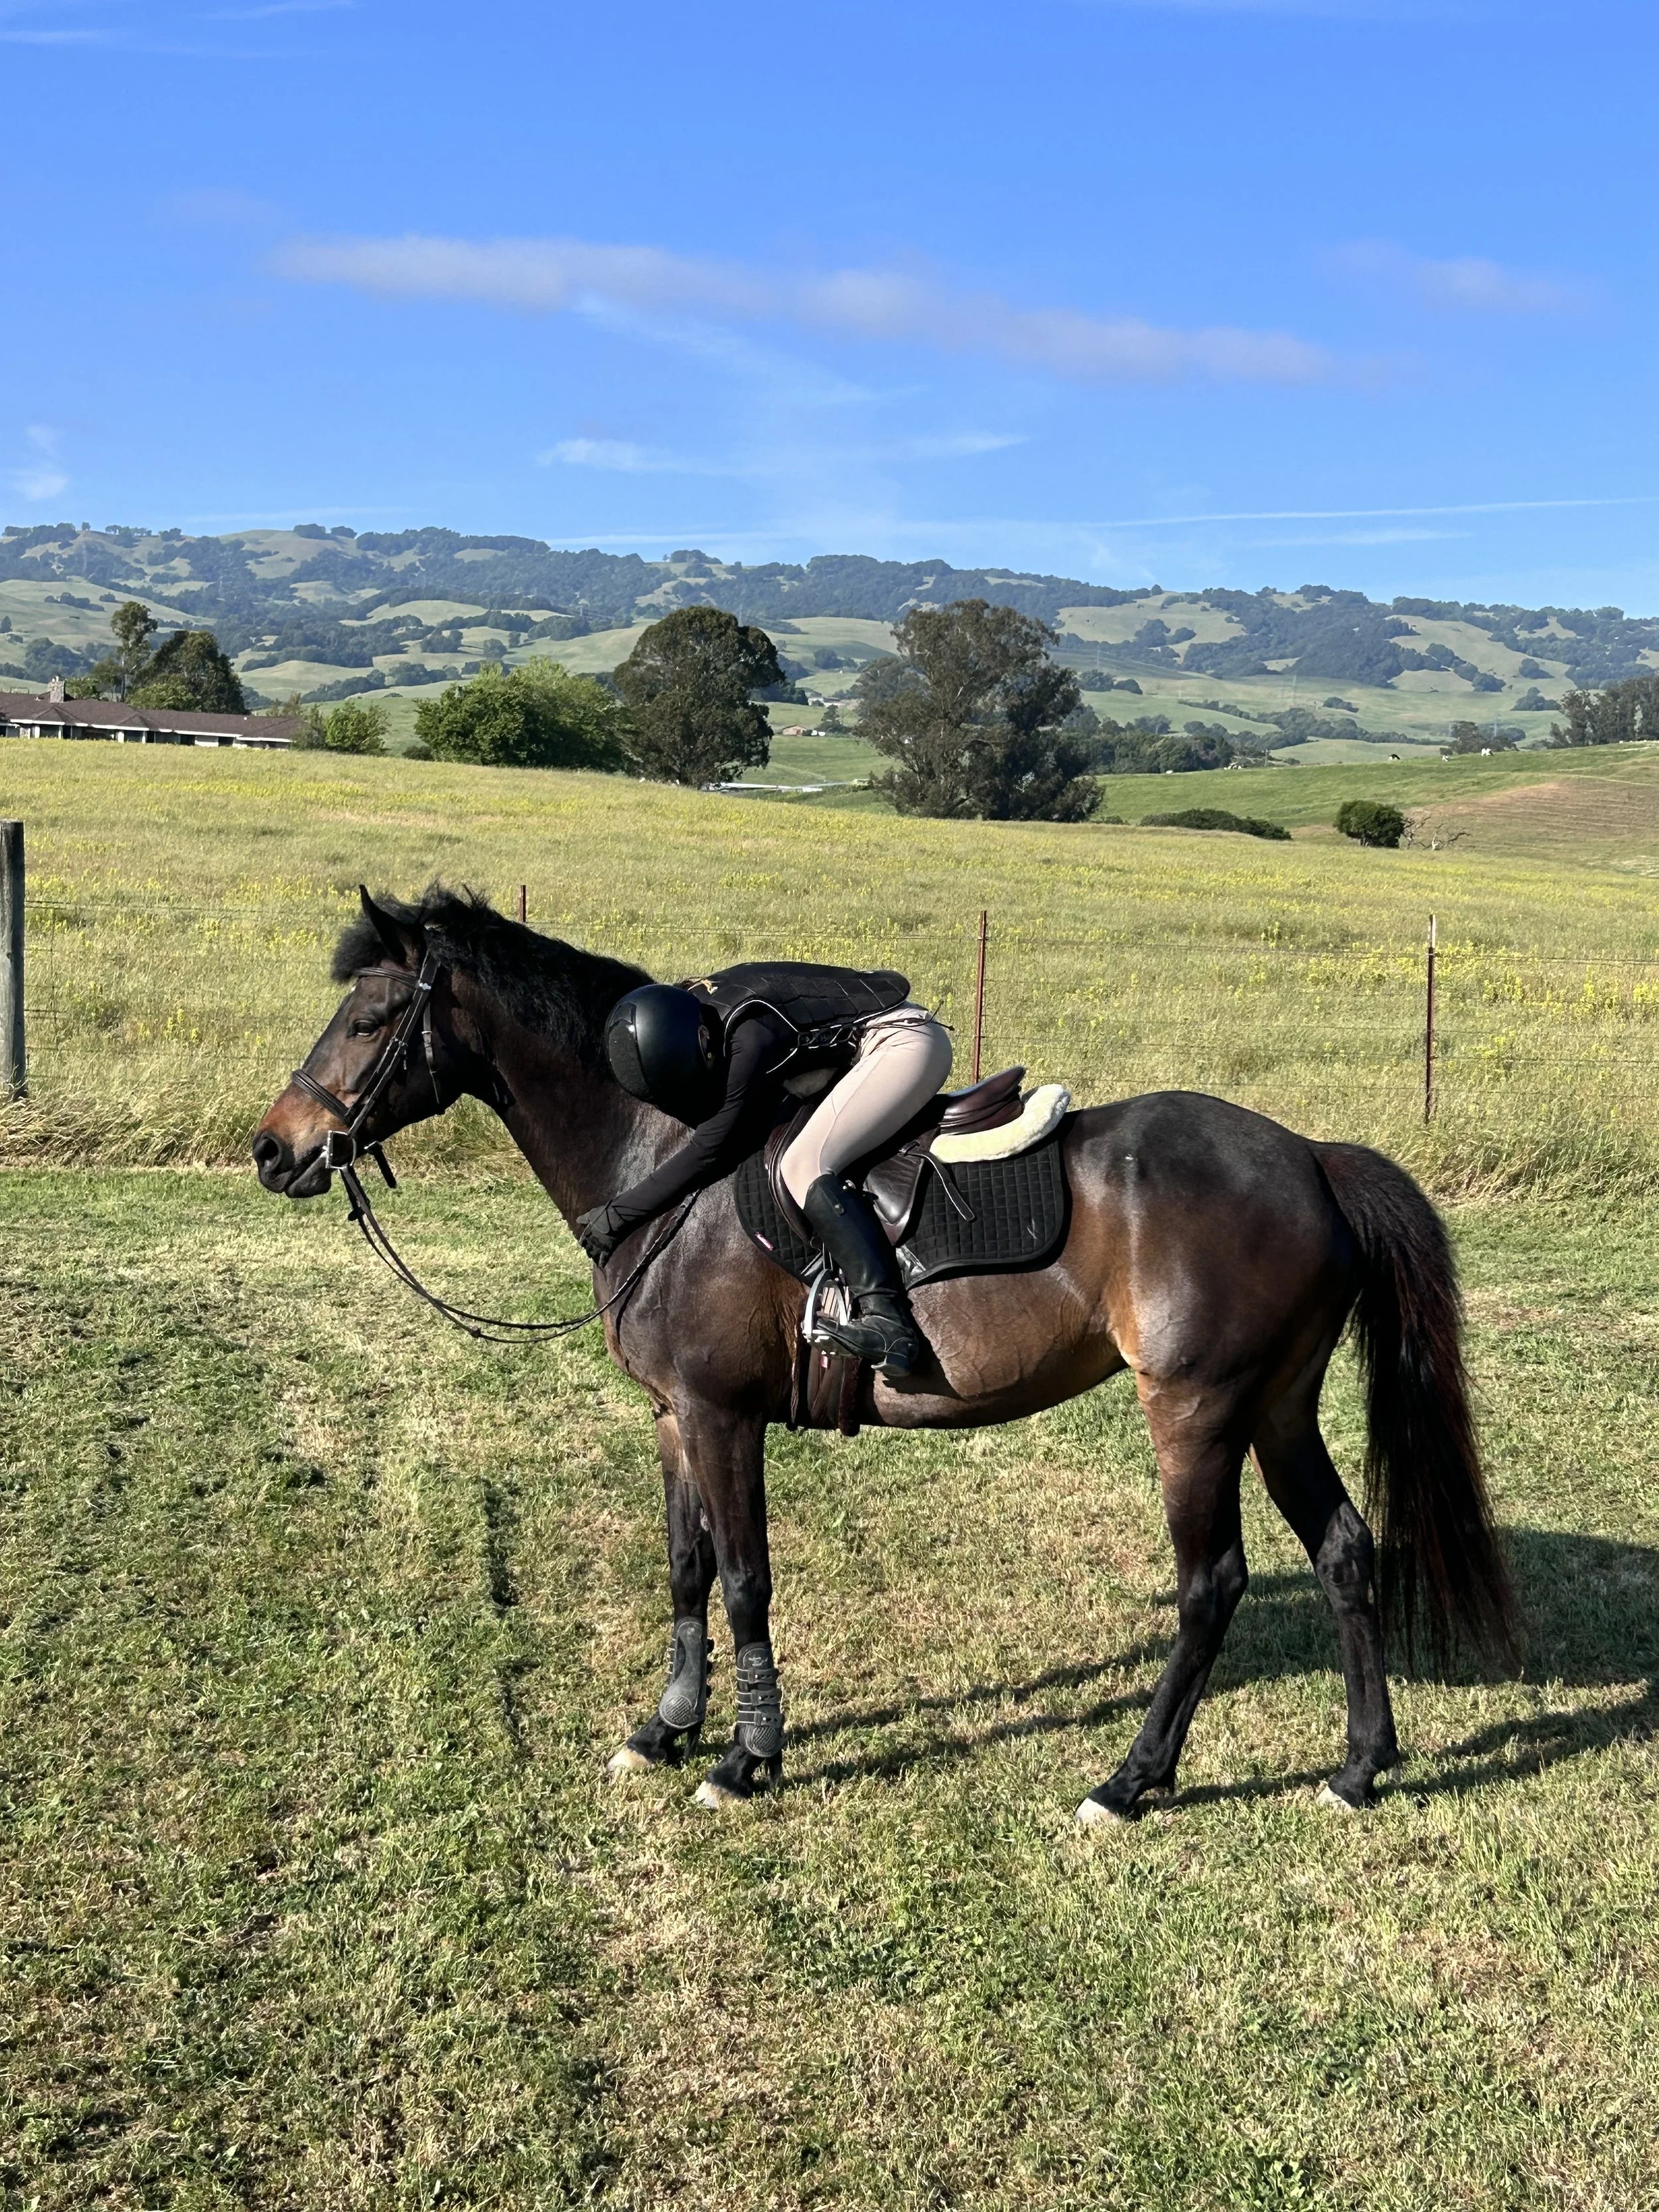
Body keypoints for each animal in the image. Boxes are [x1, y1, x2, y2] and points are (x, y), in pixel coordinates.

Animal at [252, 887, 1515, 1823]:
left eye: (368, 1018)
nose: (275, 1149)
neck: (661, 1150)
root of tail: (1309, 1156)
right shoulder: (672, 1414)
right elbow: (686, 1569)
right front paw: (666, 1729)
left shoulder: (720, 1412)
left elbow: (747, 1578)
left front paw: (746, 1758)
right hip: (1277, 1403)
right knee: (1345, 1552)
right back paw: (1358, 1767)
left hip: (1197, 1409)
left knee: (1212, 1584)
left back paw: (1129, 1781)